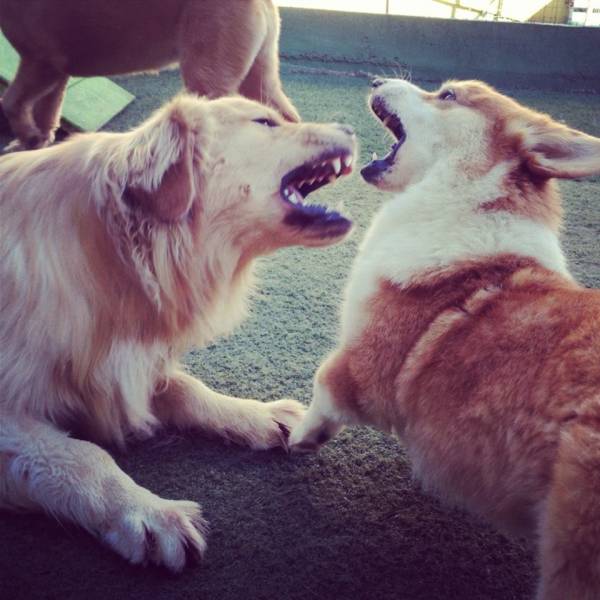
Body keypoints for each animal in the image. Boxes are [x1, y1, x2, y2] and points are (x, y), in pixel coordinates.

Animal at [0, 0, 298, 150]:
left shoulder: (41, 64)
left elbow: (12, 101)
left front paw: (28, 136)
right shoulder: (57, 73)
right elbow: (47, 111)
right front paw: (38, 141)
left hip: (209, 76)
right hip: (260, 75)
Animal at [0, 94, 356, 572]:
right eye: (264, 122)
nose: (352, 127)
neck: (116, 255)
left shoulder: (126, 368)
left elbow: (186, 388)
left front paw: (255, 414)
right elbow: (82, 454)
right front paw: (148, 513)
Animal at [290, 79, 600, 600]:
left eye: (449, 94)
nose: (376, 81)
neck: (465, 202)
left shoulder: (359, 367)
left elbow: (322, 389)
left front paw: (298, 437)